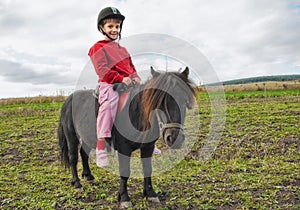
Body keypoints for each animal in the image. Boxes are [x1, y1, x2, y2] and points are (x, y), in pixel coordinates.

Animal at [58, 67, 197, 208]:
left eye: (184, 101)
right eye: (159, 101)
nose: (174, 138)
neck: (135, 114)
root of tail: (69, 100)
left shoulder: (148, 147)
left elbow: (147, 169)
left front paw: (150, 193)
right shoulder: (124, 148)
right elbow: (125, 171)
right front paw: (124, 197)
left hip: (88, 137)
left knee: (83, 153)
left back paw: (89, 176)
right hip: (71, 137)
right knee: (73, 157)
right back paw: (77, 183)